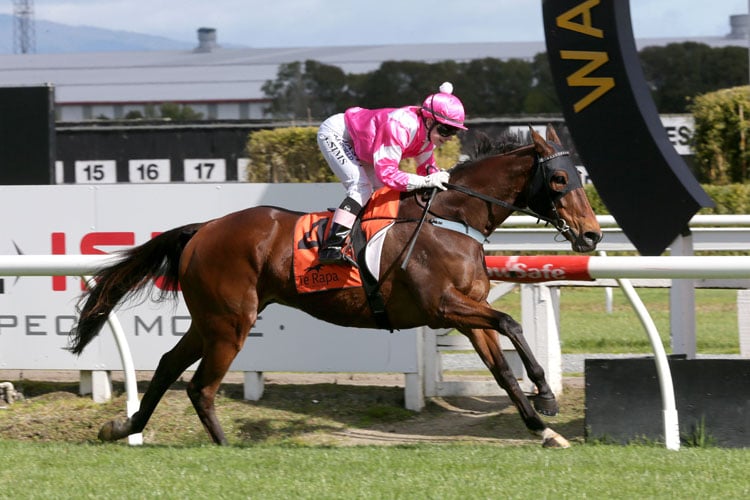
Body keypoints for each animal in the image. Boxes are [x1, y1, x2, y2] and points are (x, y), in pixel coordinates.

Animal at [67, 126, 604, 450]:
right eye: (559, 179)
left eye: (580, 175)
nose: (593, 235)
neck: (453, 219)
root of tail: (203, 229)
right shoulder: (443, 307)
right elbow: (511, 322)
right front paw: (547, 396)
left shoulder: (468, 312)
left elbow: (503, 370)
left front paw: (544, 427)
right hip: (230, 323)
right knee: (201, 385)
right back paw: (223, 446)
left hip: (210, 321)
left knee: (167, 366)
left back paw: (123, 426)